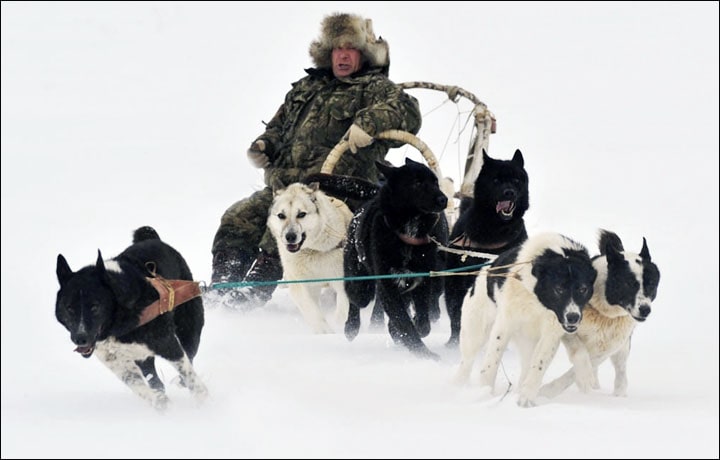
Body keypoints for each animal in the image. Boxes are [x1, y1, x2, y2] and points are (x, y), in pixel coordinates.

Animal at [54, 226, 207, 410]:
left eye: (95, 306)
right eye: (69, 308)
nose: (80, 338)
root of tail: (153, 239)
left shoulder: (167, 344)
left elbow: (190, 375)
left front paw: (205, 403)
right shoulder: (119, 364)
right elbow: (143, 389)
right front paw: (162, 406)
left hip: (189, 329)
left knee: (190, 355)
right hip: (142, 356)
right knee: (154, 378)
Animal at [266, 181, 352, 334]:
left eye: (301, 214)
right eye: (281, 215)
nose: (290, 236)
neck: (312, 250)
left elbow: (343, 310)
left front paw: (340, 328)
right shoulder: (302, 285)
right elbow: (311, 310)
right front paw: (324, 331)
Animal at [340, 158, 448, 360]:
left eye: (436, 182)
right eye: (417, 182)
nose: (443, 199)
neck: (408, 236)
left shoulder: (421, 283)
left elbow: (422, 322)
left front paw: (413, 332)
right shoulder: (388, 289)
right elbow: (405, 323)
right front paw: (424, 354)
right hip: (362, 286)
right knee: (354, 299)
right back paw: (351, 327)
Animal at [536, 230, 660, 398]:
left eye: (651, 285)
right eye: (629, 284)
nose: (645, 309)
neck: (604, 311)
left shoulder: (608, 347)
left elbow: (581, 368)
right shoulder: (567, 328)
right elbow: (579, 354)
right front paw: (555, 389)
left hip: (621, 349)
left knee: (620, 370)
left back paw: (617, 393)